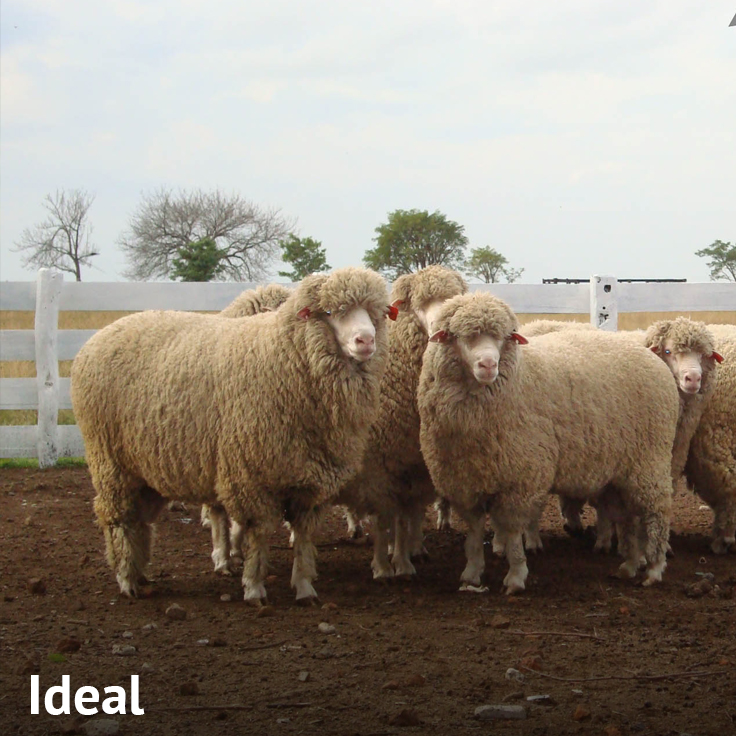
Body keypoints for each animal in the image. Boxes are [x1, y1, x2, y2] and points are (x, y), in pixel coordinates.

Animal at [70, 267, 391, 604]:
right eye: (330, 312)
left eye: (376, 314)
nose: (366, 340)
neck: (285, 357)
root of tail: (96, 339)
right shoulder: (250, 473)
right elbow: (257, 532)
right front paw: (253, 586)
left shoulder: (310, 480)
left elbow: (304, 536)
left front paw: (304, 587)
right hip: (110, 461)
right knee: (119, 519)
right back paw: (126, 578)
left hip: (142, 469)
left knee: (140, 521)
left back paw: (141, 572)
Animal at [334, 265, 468, 579]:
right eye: (419, 304)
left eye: (453, 298)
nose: (439, 330)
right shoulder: (377, 465)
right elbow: (384, 518)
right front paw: (383, 566)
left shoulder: (415, 463)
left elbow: (408, 515)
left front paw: (406, 559)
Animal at [417, 292, 680, 594]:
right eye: (459, 336)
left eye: (504, 337)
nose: (488, 365)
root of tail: (652, 358)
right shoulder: (463, 480)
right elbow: (473, 532)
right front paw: (471, 573)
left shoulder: (520, 477)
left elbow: (511, 531)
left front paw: (516, 576)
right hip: (620, 472)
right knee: (626, 516)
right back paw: (629, 565)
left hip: (650, 460)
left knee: (657, 512)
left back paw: (654, 568)